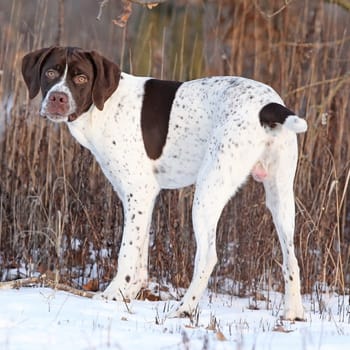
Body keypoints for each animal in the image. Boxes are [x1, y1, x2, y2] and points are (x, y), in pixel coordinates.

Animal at [21, 46, 306, 320]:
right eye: (50, 73)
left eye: (81, 78)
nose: (58, 98)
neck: (105, 108)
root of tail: (267, 106)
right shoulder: (141, 199)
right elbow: (140, 254)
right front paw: (129, 293)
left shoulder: (139, 192)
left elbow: (127, 251)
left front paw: (114, 293)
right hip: (280, 197)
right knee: (291, 258)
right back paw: (293, 314)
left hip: (208, 192)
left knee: (208, 257)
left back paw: (185, 309)